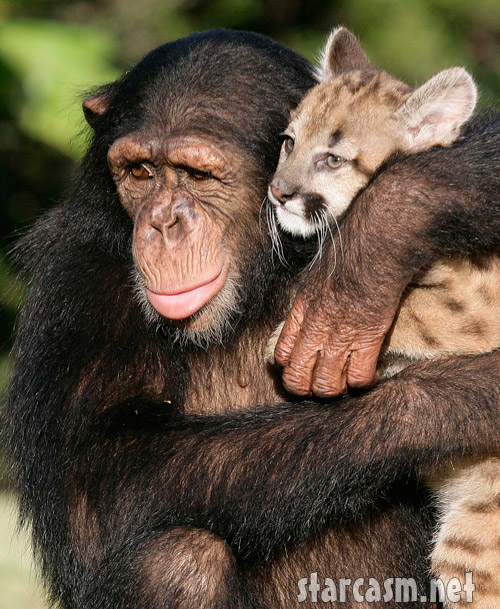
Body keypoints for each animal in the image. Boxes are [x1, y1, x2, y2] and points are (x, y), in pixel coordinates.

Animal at [5, 27, 500, 608]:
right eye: (140, 172)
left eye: (197, 175)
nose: (162, 222)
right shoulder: (74, 277)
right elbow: (104, 473)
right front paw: (462, 394)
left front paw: (388, 229)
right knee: (176, 557)